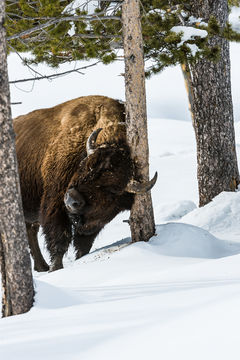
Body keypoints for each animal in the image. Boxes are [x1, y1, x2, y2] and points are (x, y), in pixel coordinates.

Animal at [15, 95, 158, 270]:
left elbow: (83, 245)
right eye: (84, 165)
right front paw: (56, 268)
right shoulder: (55, 205)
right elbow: (59, 240)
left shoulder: (94, 222)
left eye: (113, 189)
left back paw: (42, 267)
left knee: (30, 231)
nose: (72, 200)